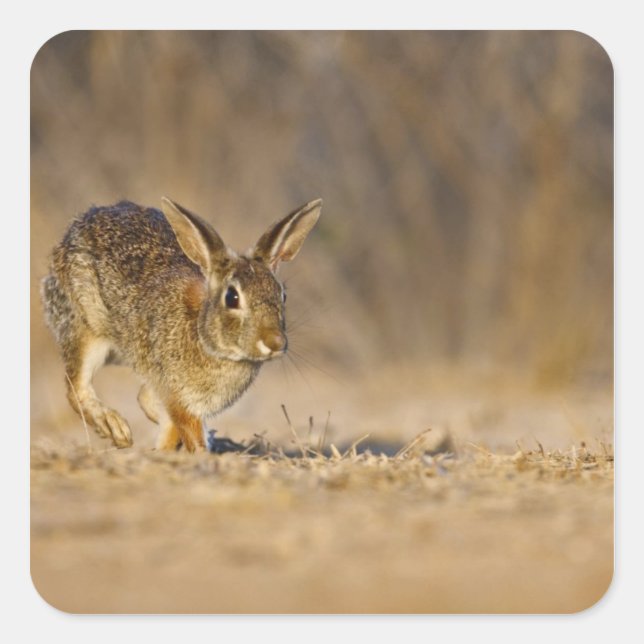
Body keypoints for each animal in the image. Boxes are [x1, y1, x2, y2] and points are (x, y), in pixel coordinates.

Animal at [41, 197, 322, 451]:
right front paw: (198, 455)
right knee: (76, 388)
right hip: (86, 328)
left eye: (282, 295)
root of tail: (76, 227)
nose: (275, 342)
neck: (205, 336)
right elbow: (187, 432)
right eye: (232, 297)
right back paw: (115, 427)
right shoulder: (178, 396)